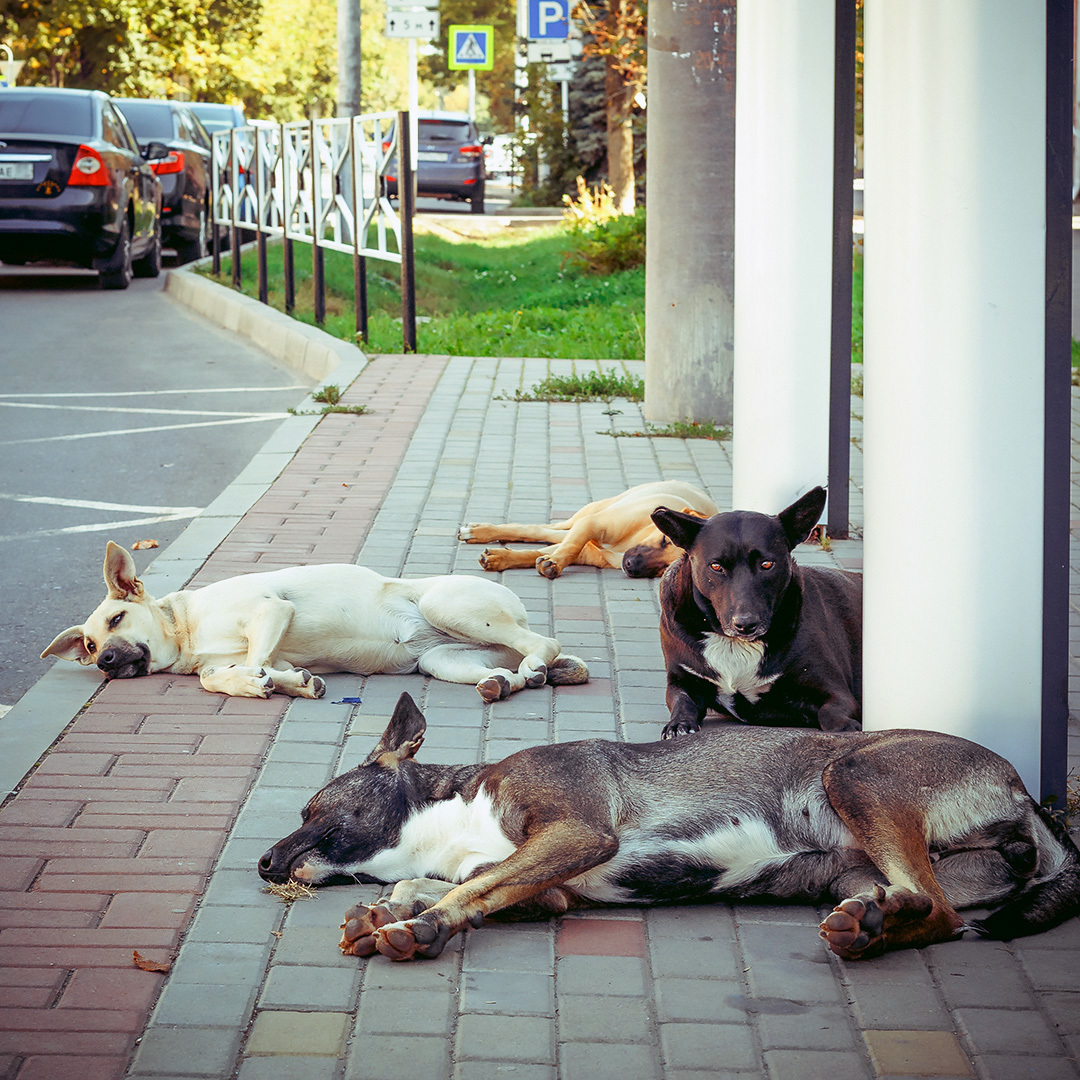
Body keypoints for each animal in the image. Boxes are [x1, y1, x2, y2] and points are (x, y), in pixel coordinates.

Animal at [42, 544, 587, 704]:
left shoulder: (271, 611)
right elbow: (217, 675)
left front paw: (258, 681)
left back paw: (537, 663)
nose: (105, 661)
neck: (187, 629)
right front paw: (286, 683)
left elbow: (235, 668)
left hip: (448, 607)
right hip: (442, 659)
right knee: (511, 671)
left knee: (545, 642)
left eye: (117, 618)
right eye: (88, 646)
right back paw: (508, 681)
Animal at [261, 695, 1080, 967]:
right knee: (925, 904)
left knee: (937, 910)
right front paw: (389, 908)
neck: (452, 817)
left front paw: (411, 924)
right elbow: (452, 883)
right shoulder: (549, 891)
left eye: (310, 810)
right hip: (860, 867)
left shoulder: (576, 834)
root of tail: (1025, 792)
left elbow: (466, 888)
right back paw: (872, 925)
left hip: (856, 776)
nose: (264, 864)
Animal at [648, 486, 859, 738]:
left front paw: (845, 727)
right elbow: (682, 701)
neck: (733, 644)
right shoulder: (682, 681)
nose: (745, 624)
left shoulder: (836, 692)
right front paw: (679, 725)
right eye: (716, 566)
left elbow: (830, 713)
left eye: (767, 564)